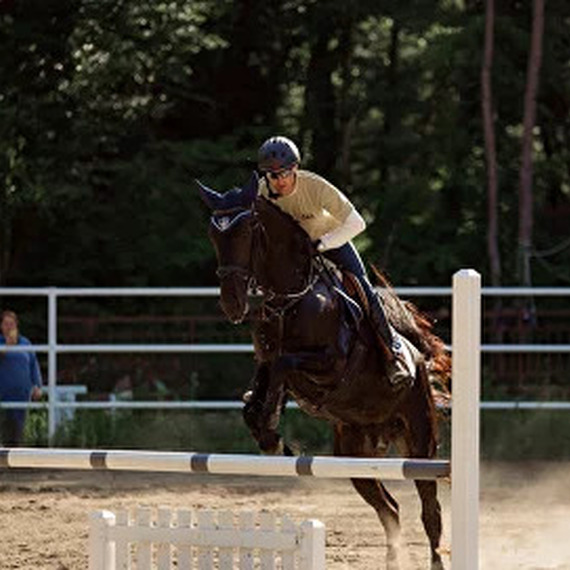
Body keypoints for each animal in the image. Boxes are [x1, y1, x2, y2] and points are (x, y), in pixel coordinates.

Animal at [197, 173, 450, 568]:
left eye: (249, 229)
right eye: (213, 233)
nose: (232, 303)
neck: (289, 300)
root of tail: (418, 360)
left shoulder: (331, 364)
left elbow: (283, 368)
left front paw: (271, 430)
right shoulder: (268, 363)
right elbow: (260, 389)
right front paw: (269, 435)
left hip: (420, 441)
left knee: (430, 511)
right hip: (355, 453)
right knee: (390, 508)